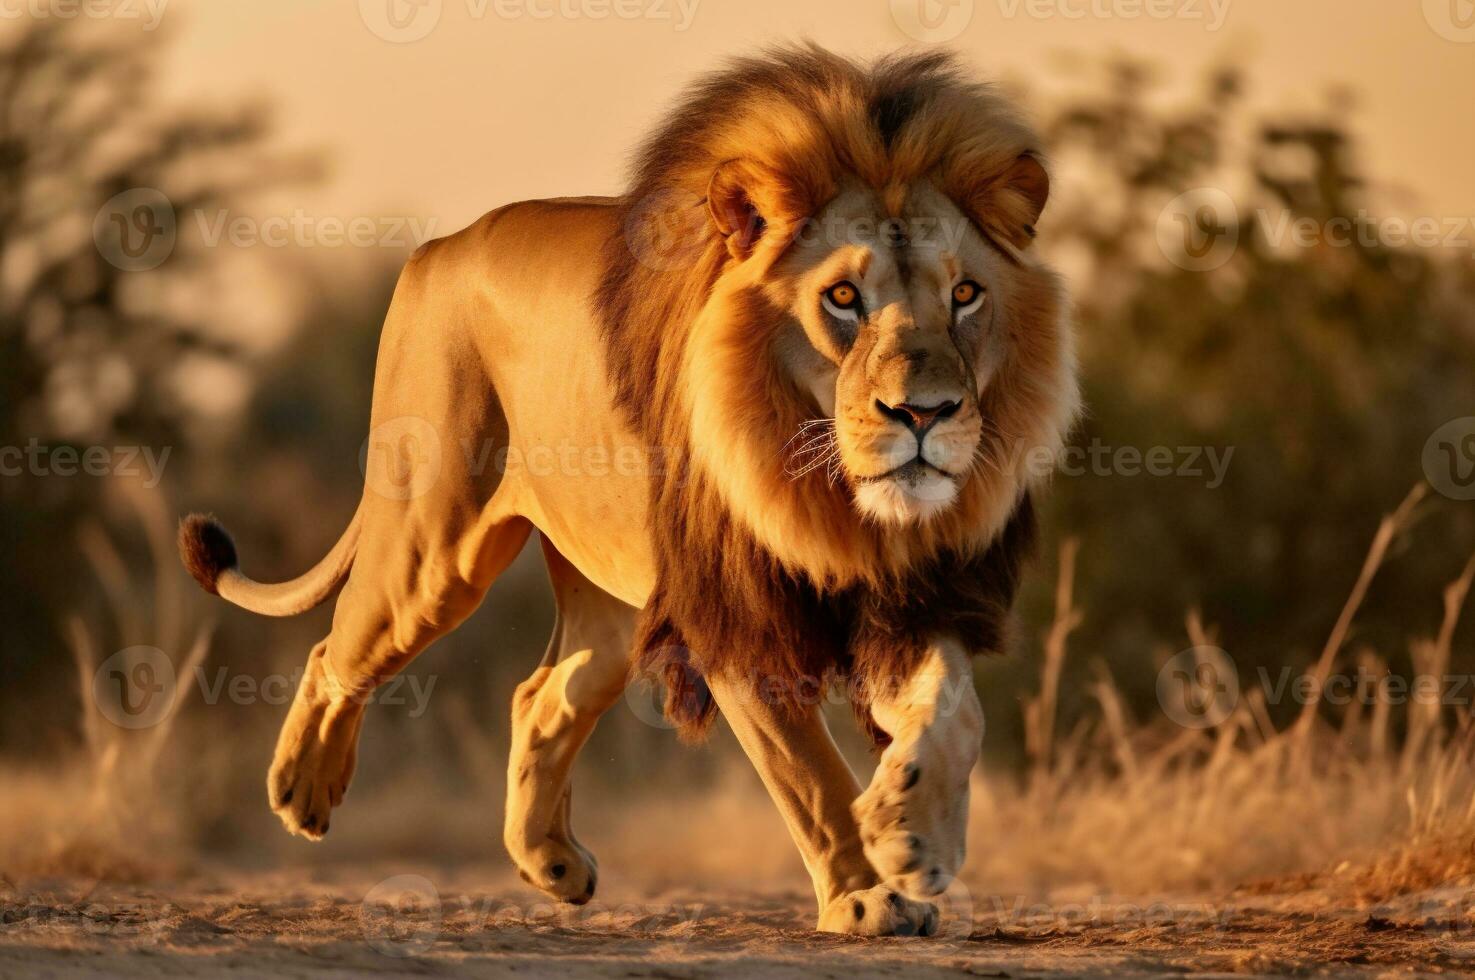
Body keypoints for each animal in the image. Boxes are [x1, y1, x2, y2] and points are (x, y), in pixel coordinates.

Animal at [178, 45, 1079, 932]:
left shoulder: (913, 600)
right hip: (431, 550)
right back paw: (302, 791)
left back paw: (552, 863)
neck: (835, 501)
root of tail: (435, 248)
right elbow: (811, 776)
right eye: (842, 298)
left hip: (612, 600)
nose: (924, 413)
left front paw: (913, 837)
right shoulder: (731, 619)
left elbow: (955, 714)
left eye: (964, 294)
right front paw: (864, 895)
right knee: (337, 650)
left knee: (542, 694)